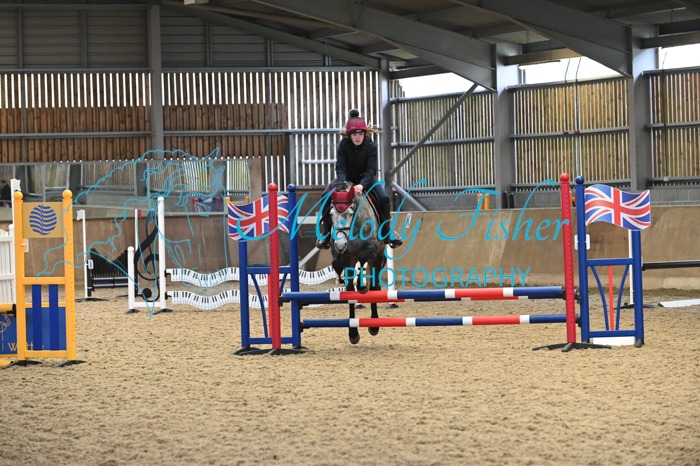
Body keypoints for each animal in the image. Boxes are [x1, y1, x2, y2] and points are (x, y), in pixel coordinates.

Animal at [328, 180, 387, 344]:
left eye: (349, 213)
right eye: (331, 214)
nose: (340, 244)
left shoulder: (371, 248)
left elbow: (363, 259)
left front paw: (361, 285)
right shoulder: (343, 254)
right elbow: (337, 264)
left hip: (378, 256)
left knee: (374, 287)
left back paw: (374, 326)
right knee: (350, 291)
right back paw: (353, 333)